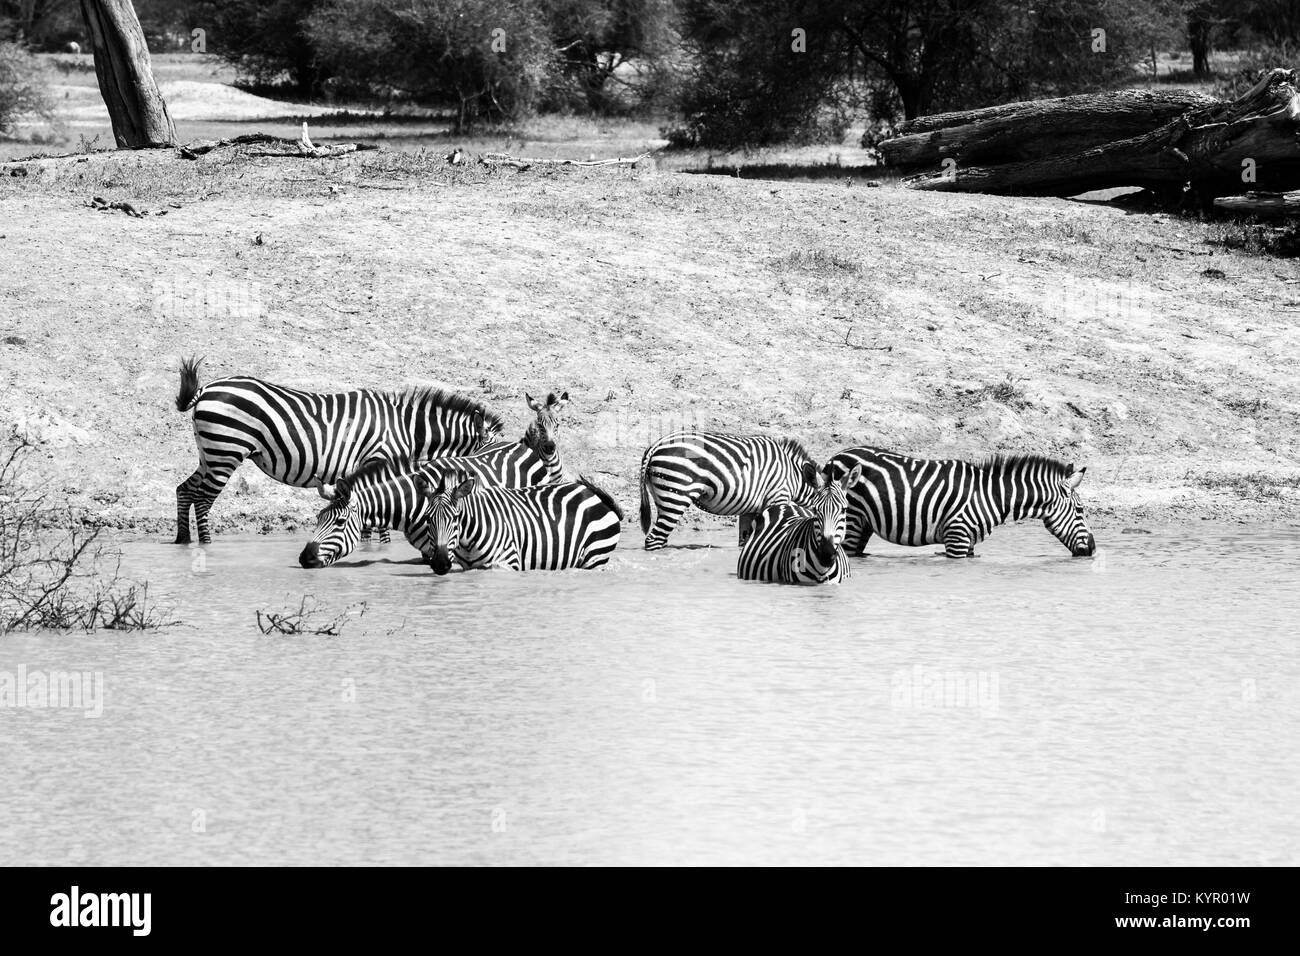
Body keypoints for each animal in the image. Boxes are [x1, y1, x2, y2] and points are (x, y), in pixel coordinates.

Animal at [169, 356, 501, 546]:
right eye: (492, 454)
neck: (405, 428)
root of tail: (206, 390)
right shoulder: (379, 458)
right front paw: (381, 545)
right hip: (225, 451)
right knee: (203, 499)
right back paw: (206, 545)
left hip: (209, 453)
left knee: (184, 490)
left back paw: (183, 540)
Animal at [413, 473, 621, 574]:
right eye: (427, 518)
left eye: (455, 518)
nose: (440, 565)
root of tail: (592, 494)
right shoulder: (470, 568)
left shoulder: (508, 562)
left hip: (595, 556)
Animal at [639, 431, 821, 548]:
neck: (794, 475)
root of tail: (655, 445)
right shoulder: (778, 496)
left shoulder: (750, 508)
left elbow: (745, 540)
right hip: (676, 495)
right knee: (654, 539)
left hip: (662, 495)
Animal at [821, 447, 1097, 561]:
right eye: (1080, 511)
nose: (1094, 549)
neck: (992, 496)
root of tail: (836, 456)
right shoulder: (957, 537)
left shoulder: (970, 541)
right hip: (851, 521)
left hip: (862, 524)